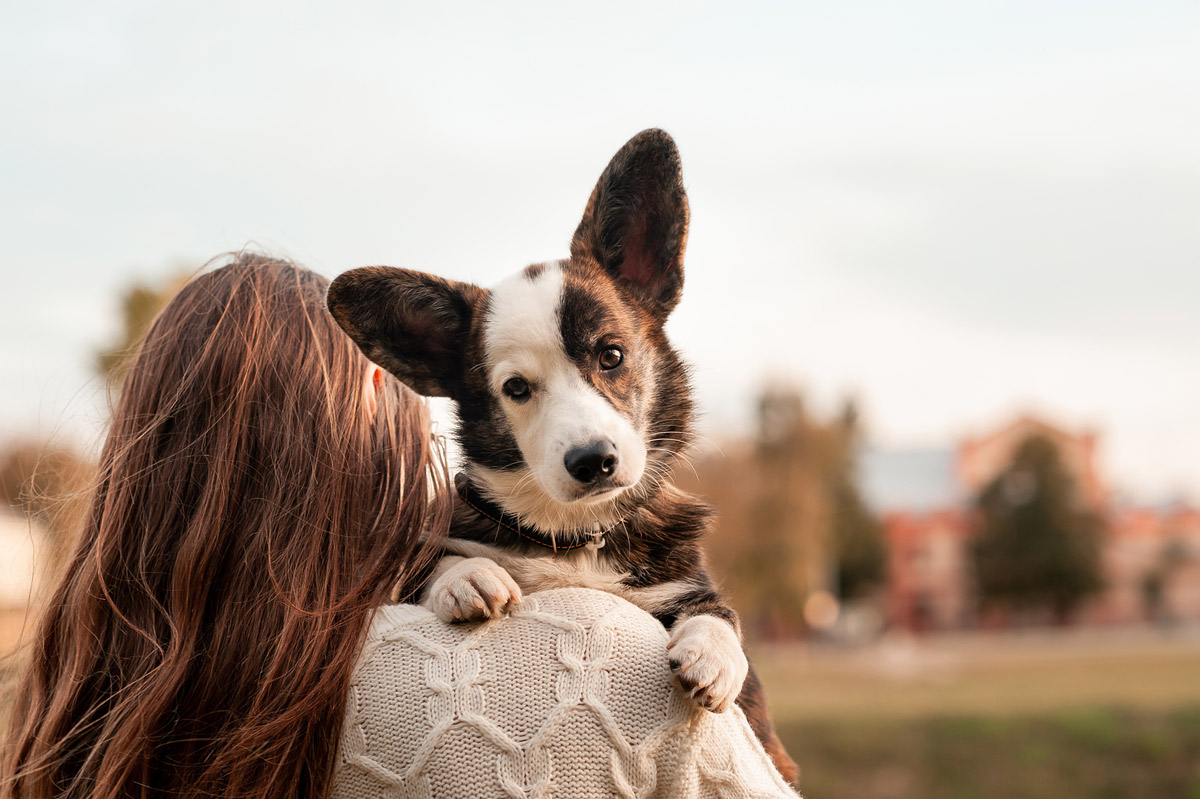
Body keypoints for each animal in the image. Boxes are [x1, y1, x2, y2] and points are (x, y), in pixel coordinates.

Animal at [326, 127, 796, 782]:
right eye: (517, 388)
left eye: (612, 355)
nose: (592, 461)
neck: (575, 536)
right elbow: (434, 561)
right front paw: (469, 577)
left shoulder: (684, 583)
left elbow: (719, 612)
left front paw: (713, 656)